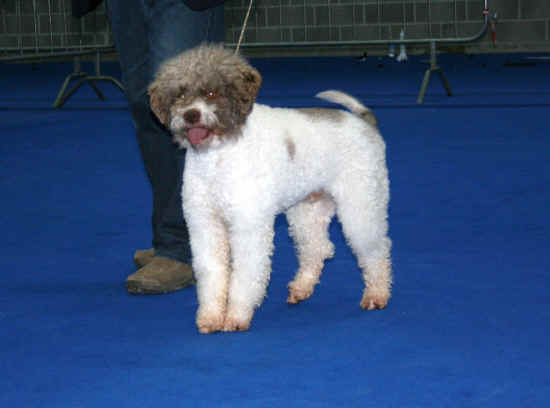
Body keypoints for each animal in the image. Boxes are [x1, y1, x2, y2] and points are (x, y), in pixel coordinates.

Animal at [149, 43, 392, 334]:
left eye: (212, 92)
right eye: (181, 93)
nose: (191, 115)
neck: (219, 155)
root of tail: (365, 123)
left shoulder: (248, 226)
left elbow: (246, 274)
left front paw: (235, 317)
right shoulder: (205, 225)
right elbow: (211, 272)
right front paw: (210, 317)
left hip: (362, 203)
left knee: (376, 249)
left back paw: (376, 295)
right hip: (307, 210)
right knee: (318, 248)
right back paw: (300, 289)